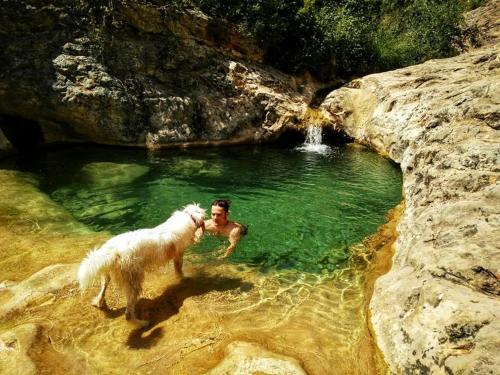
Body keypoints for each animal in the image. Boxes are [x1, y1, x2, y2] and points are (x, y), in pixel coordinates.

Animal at [77, 204, 205, 328]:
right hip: (134, 281)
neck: (188, 216)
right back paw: (142, 323)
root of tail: (114, 250)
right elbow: (179, 269)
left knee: (103, 287)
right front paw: (183, 278)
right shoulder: (179, 254)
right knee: (128, 313)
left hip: (108, 274)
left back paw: (99, 302)